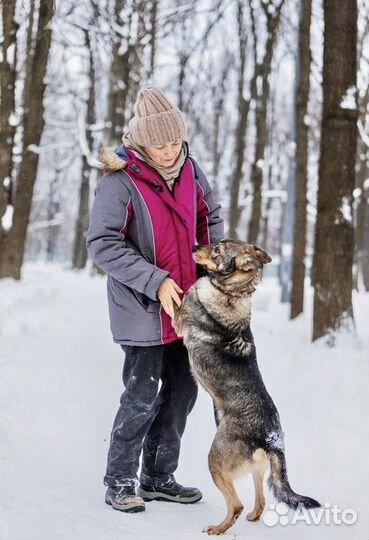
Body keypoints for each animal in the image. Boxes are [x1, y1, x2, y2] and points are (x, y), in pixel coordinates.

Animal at [172, 242, 320, 536]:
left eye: (217, 249)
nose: (195, 245)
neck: (231, 292)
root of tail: (272, 439)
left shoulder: (180, 319)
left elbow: (172, 301)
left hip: (216, 461)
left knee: (236, 505)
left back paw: (218, 529)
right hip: (256, 469)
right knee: (260, 500)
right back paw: (252, 516)